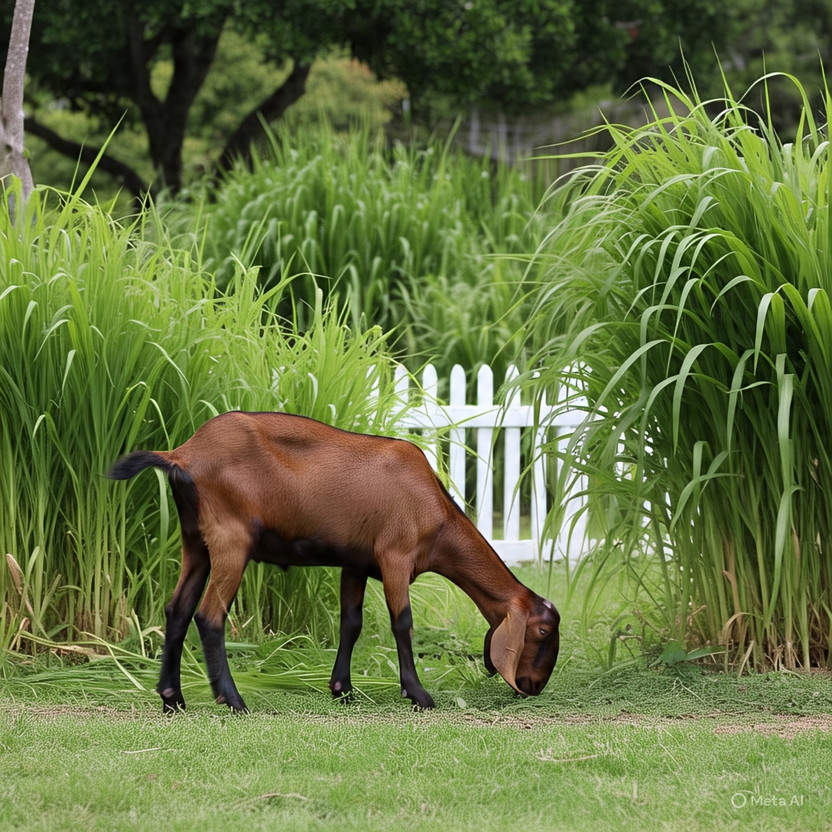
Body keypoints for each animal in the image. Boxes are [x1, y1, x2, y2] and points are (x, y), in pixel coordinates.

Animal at [108, 411, 560, 712]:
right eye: (542, 630)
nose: (535, 686)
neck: (436, 511)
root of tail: (182, 454)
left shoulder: (355, 563)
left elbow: (351, 622)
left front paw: (342, 689)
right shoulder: (395, 556)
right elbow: (403, 622)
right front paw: (417, 694)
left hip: (196, 542)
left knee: (177, 610)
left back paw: (173, 699)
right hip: (230, 538)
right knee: (209, 616)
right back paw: (233, 700)